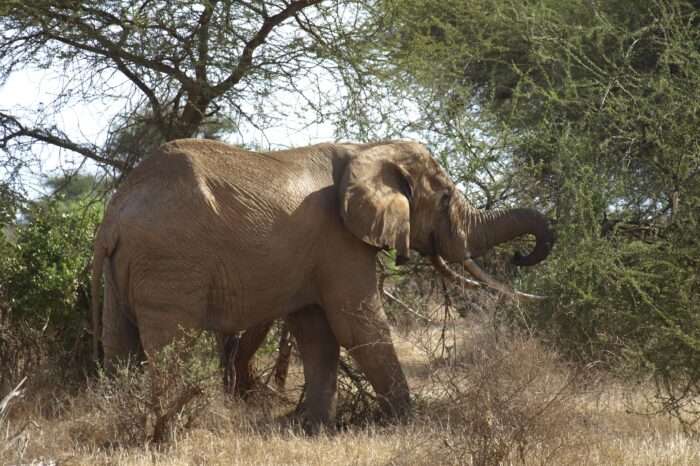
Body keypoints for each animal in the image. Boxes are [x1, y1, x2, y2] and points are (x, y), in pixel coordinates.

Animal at [91, 139, 552, 434]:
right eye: (444, 200)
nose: (520, 257)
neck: (369, 148)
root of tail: (113, 215)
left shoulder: (312, 254)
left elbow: (318, 336)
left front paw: (316, 430)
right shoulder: (338, 241)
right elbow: (358, 326)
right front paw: (406, 422)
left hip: (126, 270)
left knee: (120, 347)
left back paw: (128, 431)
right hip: (169, 261)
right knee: (172, 343)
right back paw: (170, 435)